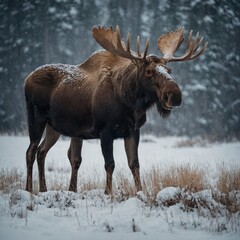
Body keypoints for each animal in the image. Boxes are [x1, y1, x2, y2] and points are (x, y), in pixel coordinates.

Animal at [24, 25, 208, 195]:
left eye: (169, 70)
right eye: (149, 71)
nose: (175, 95)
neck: (130, 102)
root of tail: (26, 79)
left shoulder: (133, 131)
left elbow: (134, 164)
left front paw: (140, 192)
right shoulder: (105, 131)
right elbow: (110, 164)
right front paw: (108, 193)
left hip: (55, 126)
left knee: (43, 151)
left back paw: (44, 189)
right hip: (36, 118)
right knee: (31, 151)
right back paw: (29, 190)